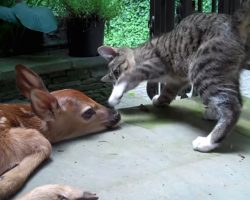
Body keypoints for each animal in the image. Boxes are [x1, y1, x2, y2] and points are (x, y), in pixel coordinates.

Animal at [97, 0, 250, 152]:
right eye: (114, 76)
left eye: (117, 72)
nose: (116, 79)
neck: (139, 53)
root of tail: (233, 22)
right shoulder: (176, 81)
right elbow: (167, 93)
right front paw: (159, 100)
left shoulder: (155, 63)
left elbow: (130, 76)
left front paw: (114, 95)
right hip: (227, 72)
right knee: (236, 99)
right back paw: (214, 113)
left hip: (201, 68)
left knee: (233, 107)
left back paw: (208, 141)